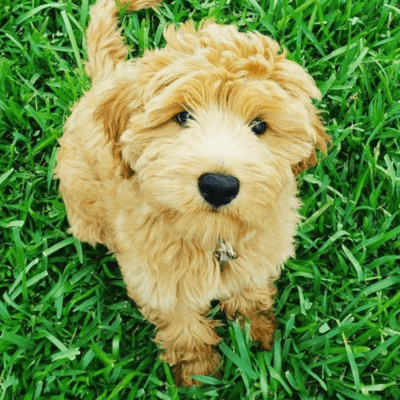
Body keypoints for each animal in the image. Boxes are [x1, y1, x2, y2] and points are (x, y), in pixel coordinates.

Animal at [56, 0, 330, 388]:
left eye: (259, 125)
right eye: (182, 116)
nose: (219, 185)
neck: (212, 235)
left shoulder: (258, 254)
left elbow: (250, 292)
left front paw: (258, 333)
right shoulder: (161, 283)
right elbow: (184, 327)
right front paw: (199, 372)